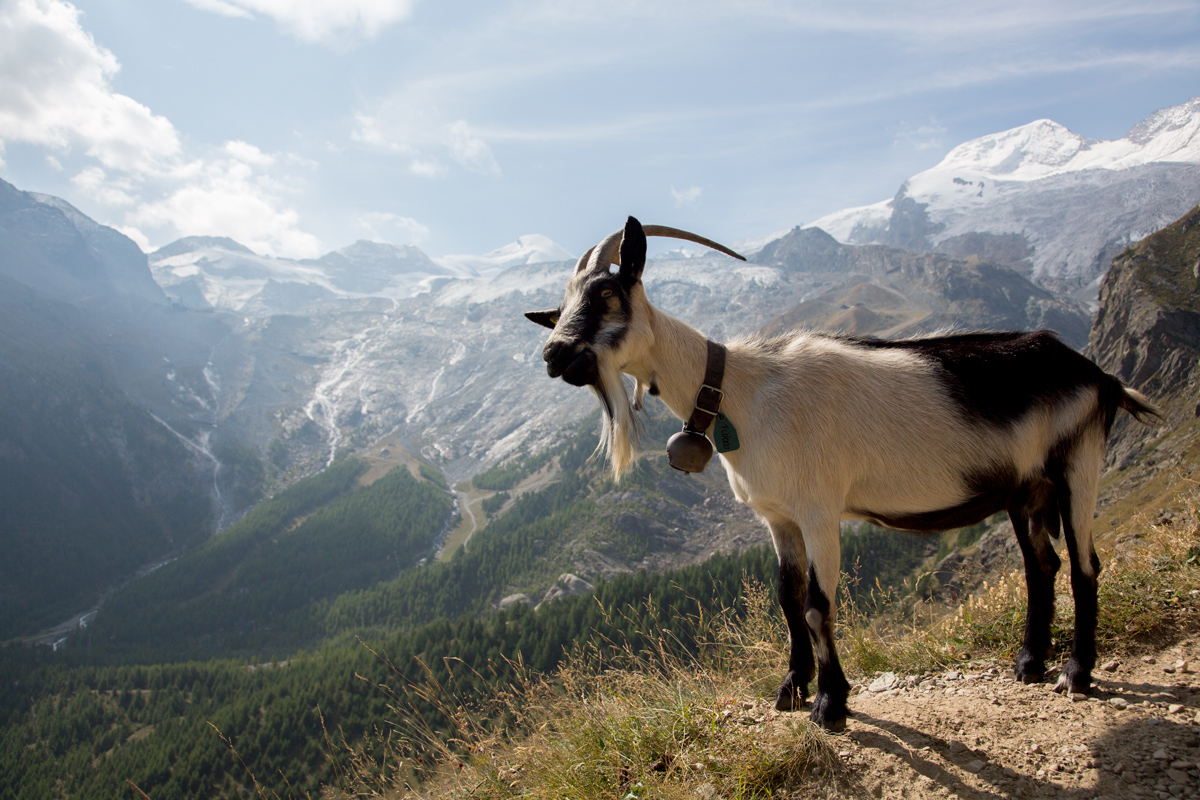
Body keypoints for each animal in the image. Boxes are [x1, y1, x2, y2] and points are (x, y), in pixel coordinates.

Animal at [525, 215, 1161, 729]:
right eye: (558, 309)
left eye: (608, 292)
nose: (554, 356)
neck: (742, 392)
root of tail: (1096, 375)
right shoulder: (778, 517)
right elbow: (788, 599)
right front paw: (792, 689)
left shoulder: (819, 510)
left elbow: (818, 605)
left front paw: (832, 704)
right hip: (1025, 488)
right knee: (1041, 564)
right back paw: (1028, 663)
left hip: (1078, 463)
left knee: (1084, 563)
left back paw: (1076, 673)